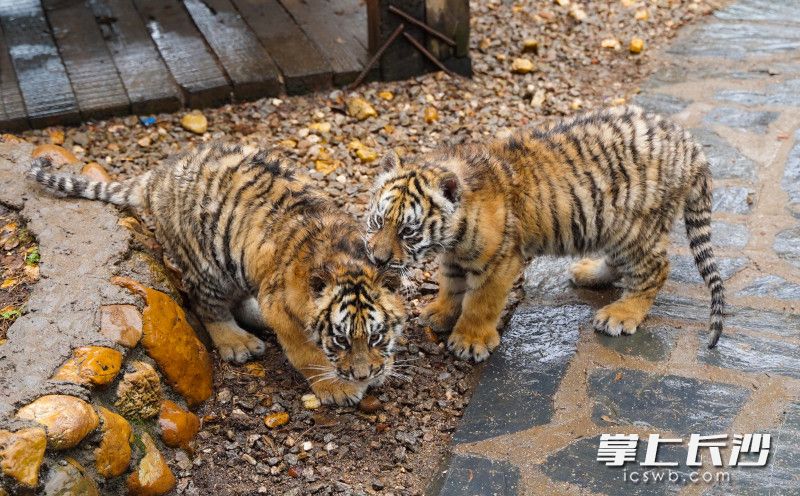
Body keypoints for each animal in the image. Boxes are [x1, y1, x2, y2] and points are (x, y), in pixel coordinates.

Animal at [29, 142, 405, 405]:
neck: (345, 259)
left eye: (375, 337)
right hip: (208, 263)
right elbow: (307, 353)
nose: (363, 373)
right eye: (340, 340)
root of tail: (157, 177)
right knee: (209, 306)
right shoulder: (282, 308)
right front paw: (337, 387)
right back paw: (237, 342)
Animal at [366, 105, 724, 362]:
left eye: (408, 231)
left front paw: (470, 340)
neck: (452, 236)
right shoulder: (454, 257)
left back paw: (621, 315)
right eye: (377, 221)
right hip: (611, 225)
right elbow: (452, 286)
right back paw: (588, 272)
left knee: (655, 269)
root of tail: (691, 146)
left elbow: (481, 301)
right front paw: (439, 313)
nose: (378, 259)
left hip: (635, 229)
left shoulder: (499, 261)